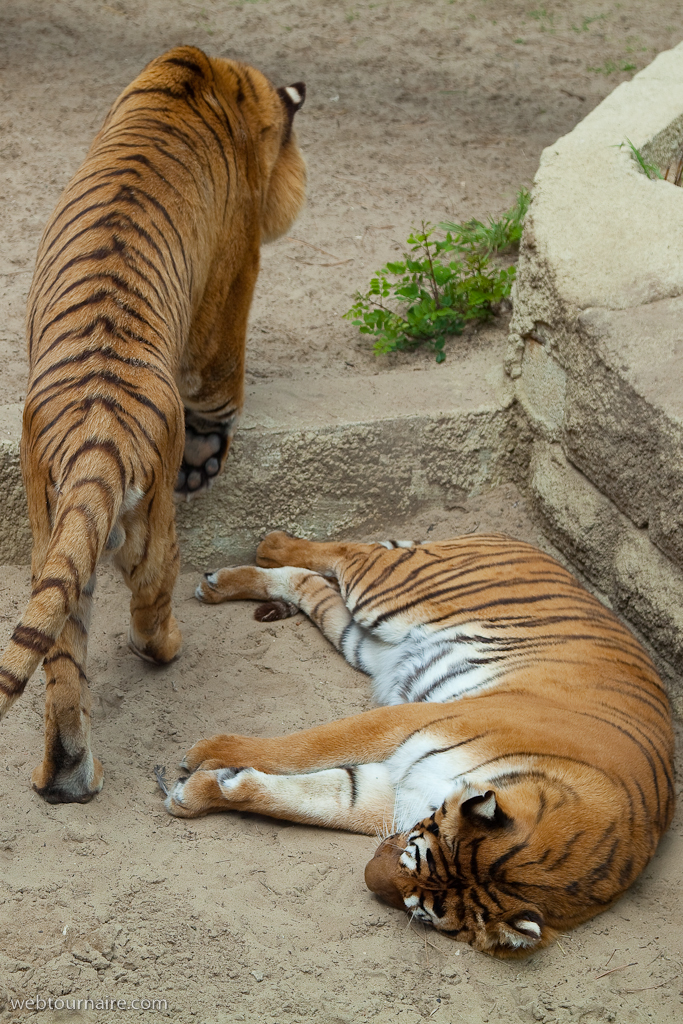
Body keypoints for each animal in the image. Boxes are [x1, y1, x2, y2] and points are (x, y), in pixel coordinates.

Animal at [0, 47, 306, 804]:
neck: (209, 77)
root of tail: (98, 425)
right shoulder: (234, 280)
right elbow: (222, 386)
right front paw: (208, 459)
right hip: (150, 533)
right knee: (150, 603)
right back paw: (165, 646)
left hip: (56, 537)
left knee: (61, 661)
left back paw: (65, 779)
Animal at [161, 529, 675, 957]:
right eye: (413, 850)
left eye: (422, 912)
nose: (368, 878)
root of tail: (522, 543)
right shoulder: (415, 719)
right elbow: (308, 746)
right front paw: (205, 754)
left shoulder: (391, 790)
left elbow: (301, 797)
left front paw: (196, 790)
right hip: (384, 594)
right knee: (346, 553)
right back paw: (267, 546)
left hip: (366, 641)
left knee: (310, 584)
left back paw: (222, 582)